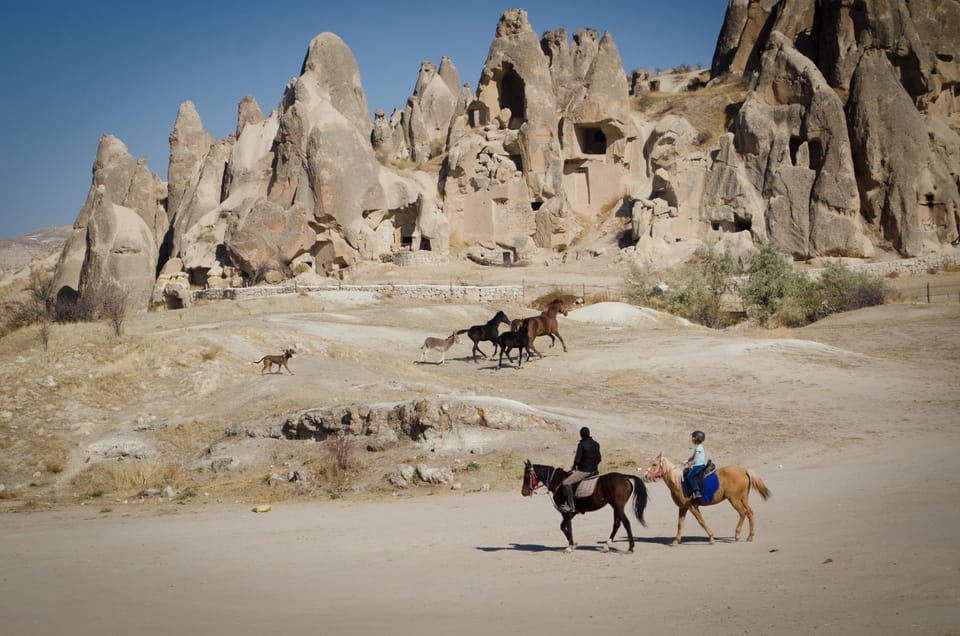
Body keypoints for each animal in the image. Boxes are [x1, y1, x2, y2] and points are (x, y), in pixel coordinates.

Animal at [520, 460, 648, 556]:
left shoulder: (566, 512)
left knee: (626, 523)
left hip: (618, 506)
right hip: (616, 507)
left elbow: (567, 526)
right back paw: (606, 546)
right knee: (617, 524)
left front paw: (570, 546)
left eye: (526, 475)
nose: (523, 492)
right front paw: (573, 543)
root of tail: (624, 476)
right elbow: (563, 526)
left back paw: (630, 548)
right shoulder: (572, 513)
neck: (558, 482)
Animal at [644, 452, 772, 548]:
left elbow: (701, 521)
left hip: (734, 500)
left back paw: (737, 534)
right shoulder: (683, 507)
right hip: (743, 498)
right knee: (750, 512)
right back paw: (750, 536)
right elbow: (680, 524)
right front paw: (676, 541)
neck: (679, 482)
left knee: (742, 513)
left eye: (654, 464)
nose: (645, 476)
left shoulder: (692, 507)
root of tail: (744, 470)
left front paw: (711, 538)